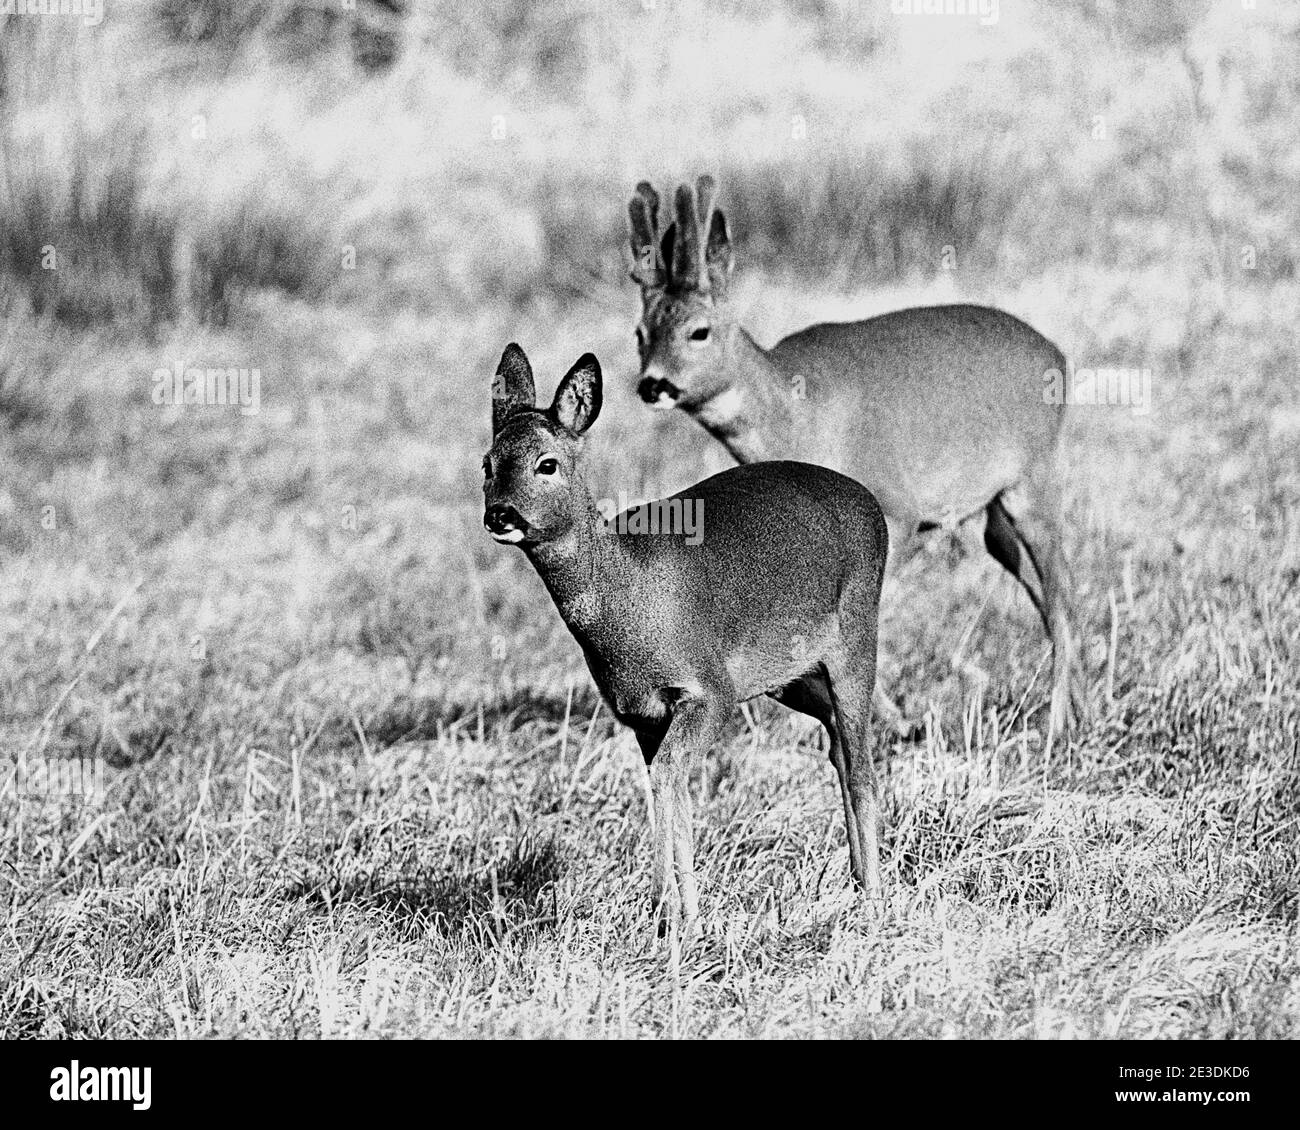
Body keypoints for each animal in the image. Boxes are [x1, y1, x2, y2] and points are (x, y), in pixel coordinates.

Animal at [486, 340, 894, 936]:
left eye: (547, 463)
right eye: (488, 464)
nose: (500, 514)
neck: (630, 599)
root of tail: (871, 505)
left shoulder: (709, 690)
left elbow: (668, 777)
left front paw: (665, 915)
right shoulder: (641, 713)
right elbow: (668, 785)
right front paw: (686, 921)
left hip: (856, 638)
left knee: (862, 763)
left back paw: (878, 898)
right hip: (792, 678)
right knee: (840, 747)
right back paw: (860, 883)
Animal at [629, 176, 1086, 738]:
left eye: (699, 330)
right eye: (640, 334)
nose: (652, 384)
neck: (793, 414)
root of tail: (1057, 353)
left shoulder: (899, 509)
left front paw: (896, 718)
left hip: (1034, 479)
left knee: (1062, 594)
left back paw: (1058, 723)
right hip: (997, 507)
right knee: (1040, 585)